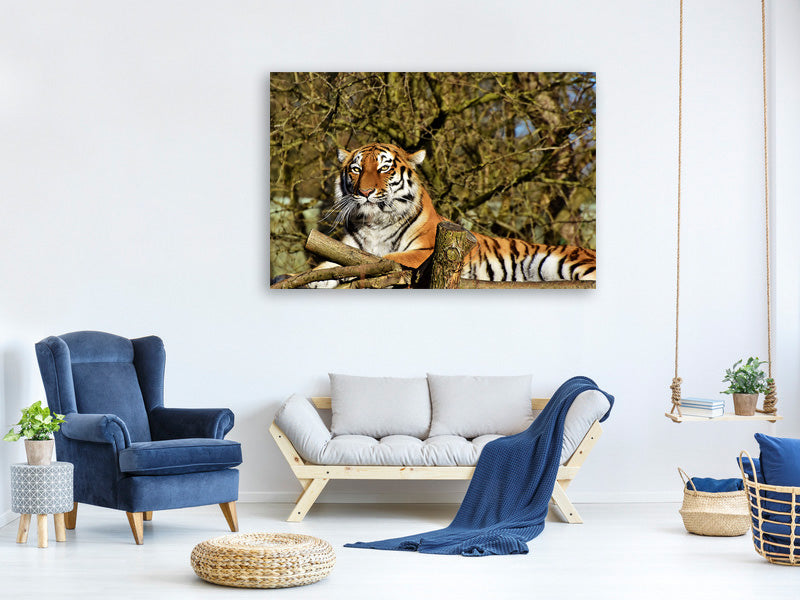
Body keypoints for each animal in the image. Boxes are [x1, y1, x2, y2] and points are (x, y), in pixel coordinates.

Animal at [313, 142, 596, 286]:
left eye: (384, 168)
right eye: (356, 169)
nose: (365, 192)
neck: (374, 222)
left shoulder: (425, 251)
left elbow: (381, 259)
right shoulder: (343, 247)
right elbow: (323, 267)